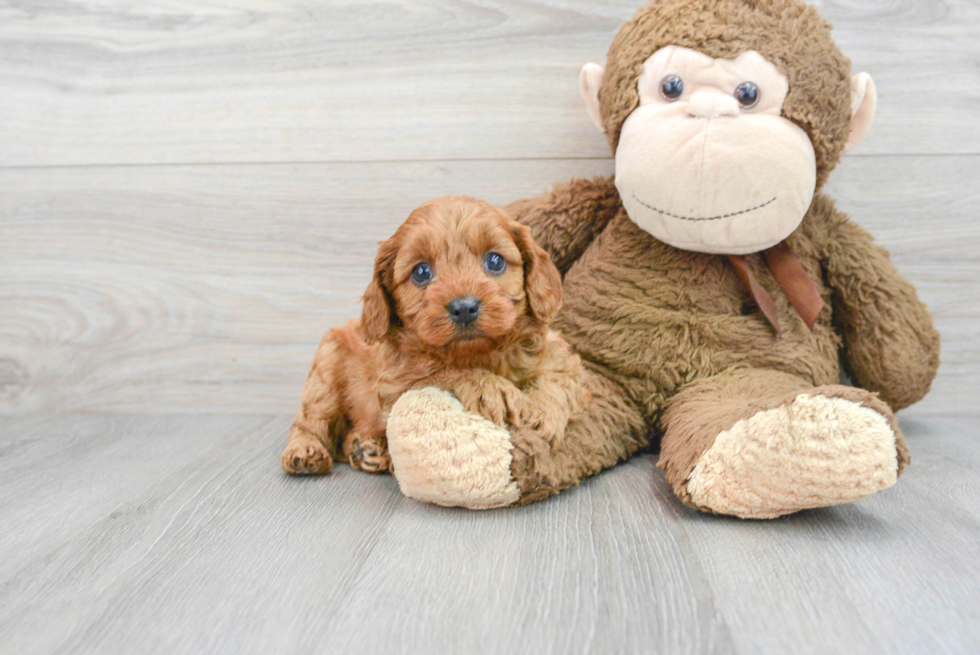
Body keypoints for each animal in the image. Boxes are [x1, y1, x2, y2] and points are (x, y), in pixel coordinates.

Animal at [284, 195, 588, 476]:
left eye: (495, 261)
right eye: (421, 271)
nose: (464, 308)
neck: (479, 353)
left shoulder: (561, 359)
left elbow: (557, 379)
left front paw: (542, 413)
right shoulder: (398, 384)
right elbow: (443, 372)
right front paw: (489, 387)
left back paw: (366, 449)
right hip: (324, 376)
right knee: (310, 422)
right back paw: (305, 452)